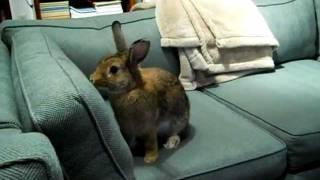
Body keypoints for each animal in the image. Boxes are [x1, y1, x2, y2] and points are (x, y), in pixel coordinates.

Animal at [90, 20, 190, 163]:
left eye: (114, 69)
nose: (92, 79)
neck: (130, 91)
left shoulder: (148, 127)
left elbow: (150, 143)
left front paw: (150, 159)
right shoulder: (126, 128)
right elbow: (128, 140)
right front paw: (130, 150)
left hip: (178, 119)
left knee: (175, 133)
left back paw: (170, 143)